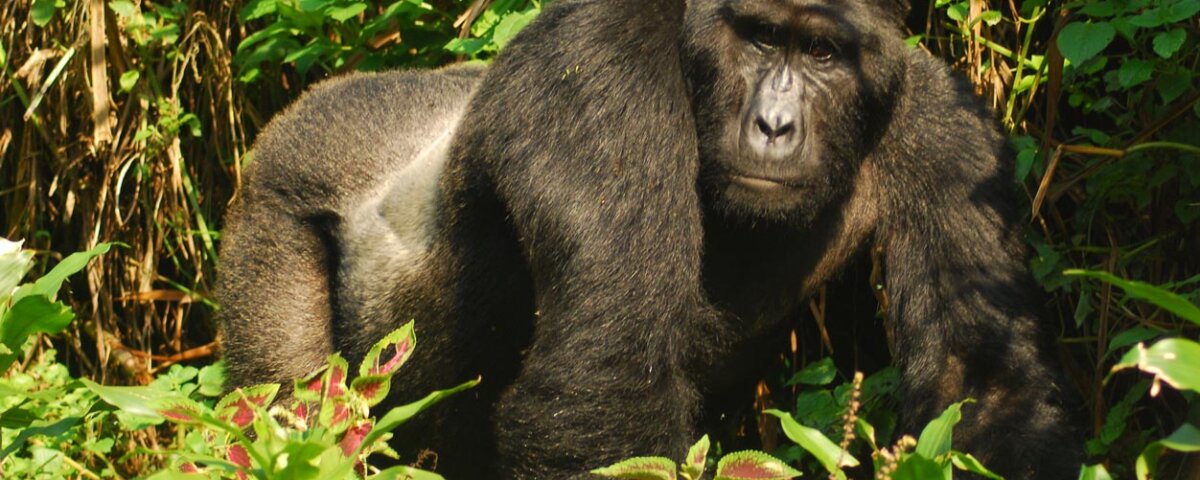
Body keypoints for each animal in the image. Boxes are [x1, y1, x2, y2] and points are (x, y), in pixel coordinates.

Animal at [219, 0, 1079, 478]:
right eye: (760, 38)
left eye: (823, 53)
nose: (774, 125)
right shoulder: (600, 60)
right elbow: (609, 378)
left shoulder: (942, 121)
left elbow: (981, 382)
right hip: (279, 187)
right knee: (289, 408)